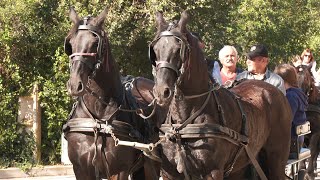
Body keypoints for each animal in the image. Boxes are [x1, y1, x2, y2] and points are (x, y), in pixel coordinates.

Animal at [63, 7, 160, 180]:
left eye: (95, 43)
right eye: (70, 43)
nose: (74, 85)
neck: (98, 119)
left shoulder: (118, 171)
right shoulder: (81, 169)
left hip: (153, 165)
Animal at [149, 11, 292, 180]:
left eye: (179, 48)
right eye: (155, 49)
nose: (161, 91)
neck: (183, 124)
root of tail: (276, 92)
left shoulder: (213, 172)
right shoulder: (169, 174)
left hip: (276, 158)